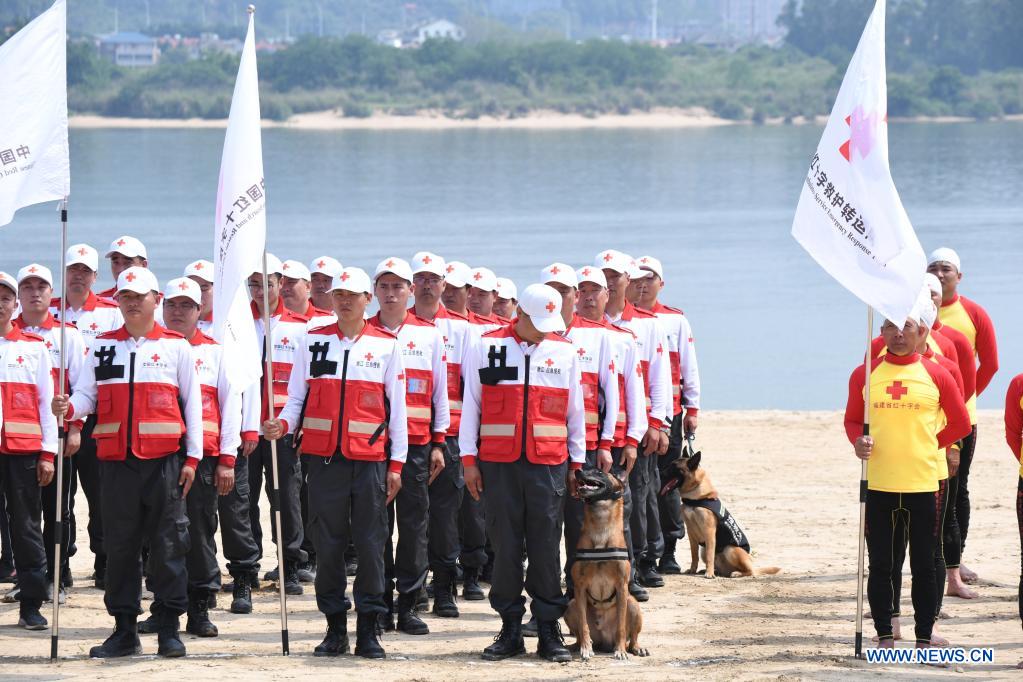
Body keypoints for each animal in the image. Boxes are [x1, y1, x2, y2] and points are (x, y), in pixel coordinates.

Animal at [564, 470, 642, 662]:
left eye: (599, 472)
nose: (578, 470)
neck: (601, 528)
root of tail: (605, 642)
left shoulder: (622, 586)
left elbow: (621, 626)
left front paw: (620, 650)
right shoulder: (579, 587)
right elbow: (583, 625)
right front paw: (586, 648)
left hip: (633, 603)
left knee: (633, 637)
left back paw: (636, 648)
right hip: (571, 605)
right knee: (578, 632)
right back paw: (576, 646)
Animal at [658, 449, 777, 580]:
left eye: (674, 467)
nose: (660, 473)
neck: (695, 498)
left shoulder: (709, 532)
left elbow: (710, 554)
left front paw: (709, 573)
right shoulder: (691, 533)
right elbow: (694, 556)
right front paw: (693, 570)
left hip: (730, 549)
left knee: (750, 571)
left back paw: (735, 573)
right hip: (704, 550)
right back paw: (711, 571)